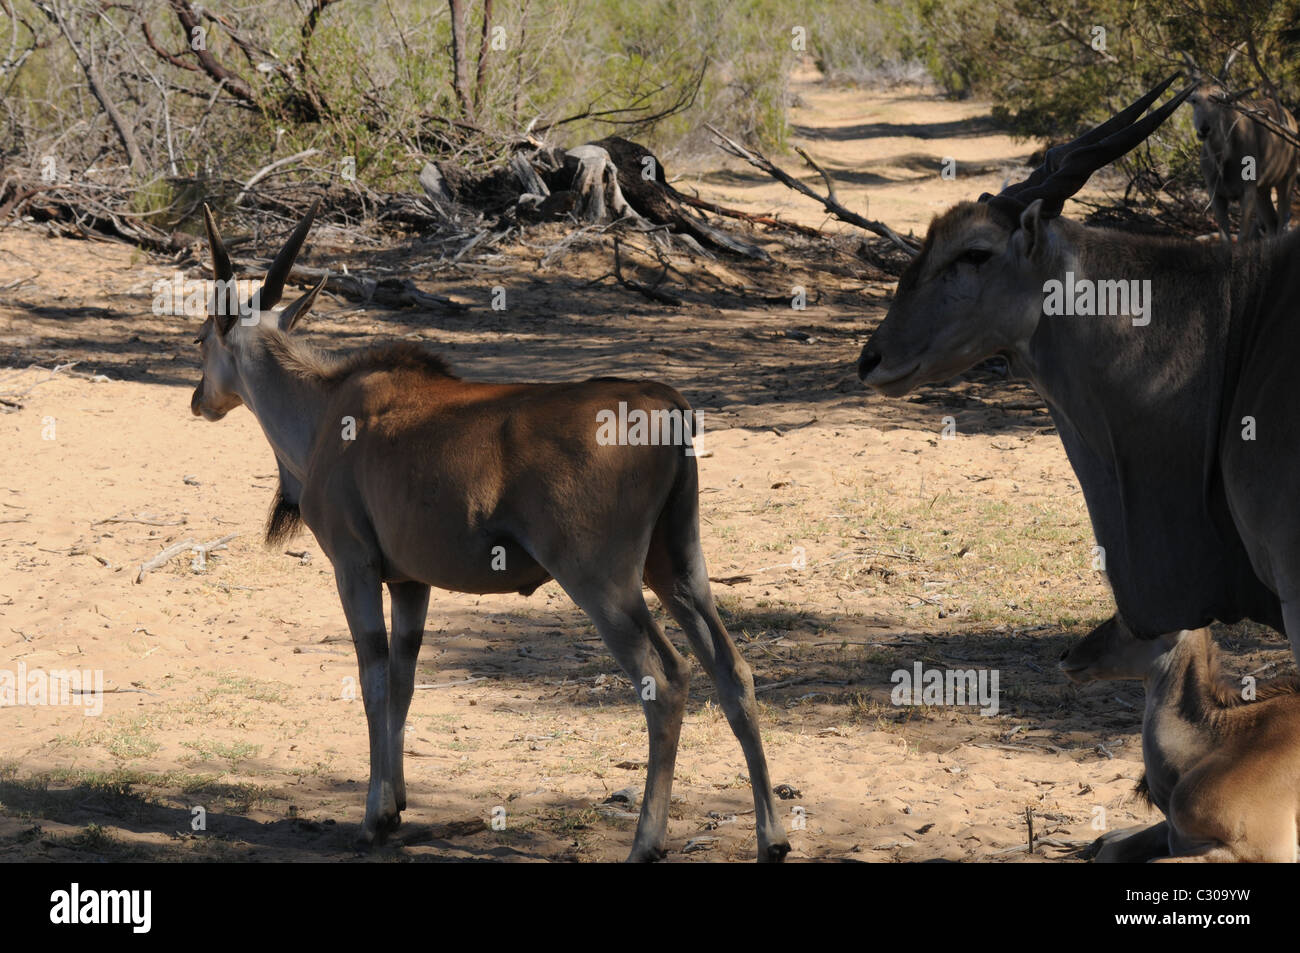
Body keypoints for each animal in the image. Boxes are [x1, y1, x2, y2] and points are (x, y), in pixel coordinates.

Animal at [188, 204, 785, 858]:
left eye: (200, 339)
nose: (197, 399)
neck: (325, 411)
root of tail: (667, 405)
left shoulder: (355, 566)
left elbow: (374, 678)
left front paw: (375, 817)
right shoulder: (411, 583)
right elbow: (404, 679)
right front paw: (397, 803)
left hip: (602, 581)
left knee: (668, 679)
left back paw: (646, 842)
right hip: (678, 567)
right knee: (734, 672)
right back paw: (773, 838)